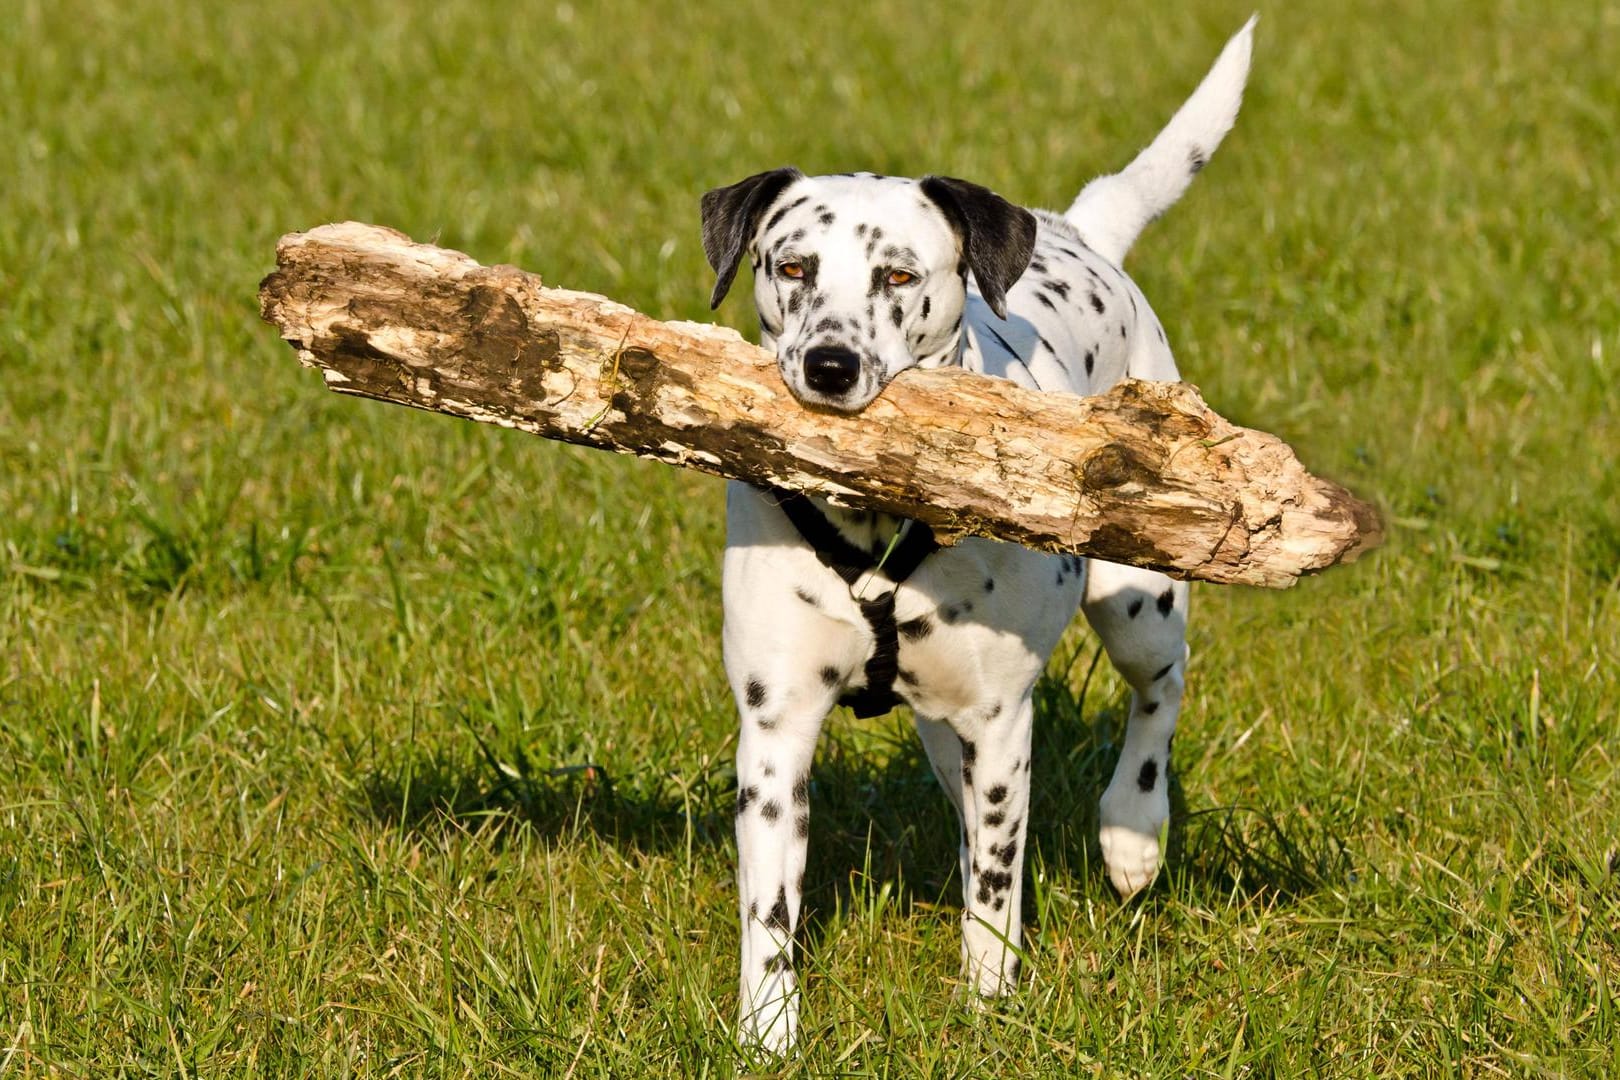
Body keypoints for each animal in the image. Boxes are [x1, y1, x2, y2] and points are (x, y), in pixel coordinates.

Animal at [703, 16, 1257, 1049]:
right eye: (791, 267)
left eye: (898, 274)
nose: (830, 365)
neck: (876, 532)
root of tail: (1081, 227)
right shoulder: (776, 726)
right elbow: (772, 909)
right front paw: (767, 1031)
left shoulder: (1001, 722)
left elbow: (995, 889)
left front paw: (990, 1004)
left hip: (1137, 604)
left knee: (1160, 690)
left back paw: (1131, 830)